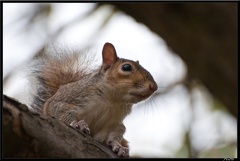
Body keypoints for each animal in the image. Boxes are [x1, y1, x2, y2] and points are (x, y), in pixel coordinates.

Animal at [27, 42, 158, 157]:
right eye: (126, 67)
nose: (154, 87)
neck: (113, 100)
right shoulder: (70, 98)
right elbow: (60, 110)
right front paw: (77, 124)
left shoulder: (115, 123)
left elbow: (115, 133)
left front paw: (118, 146)